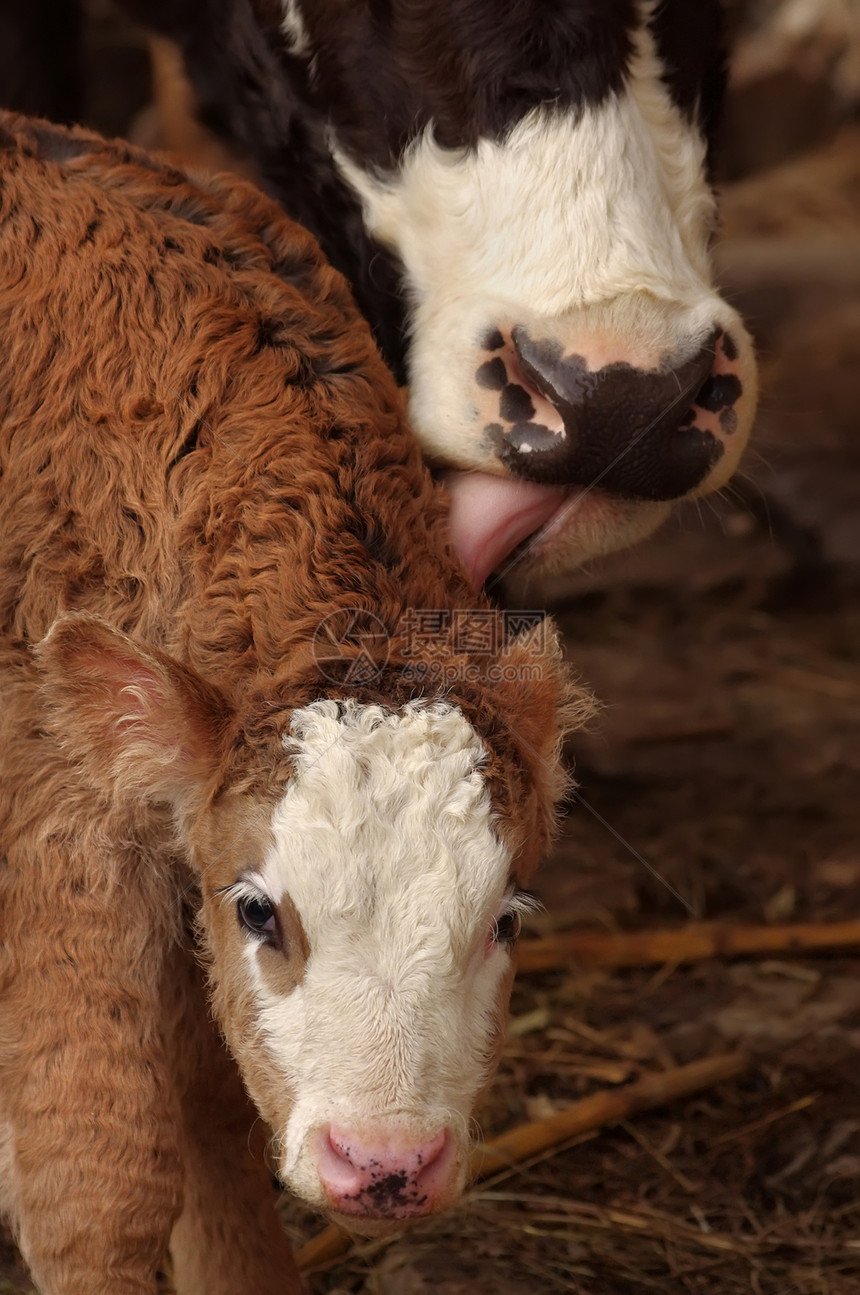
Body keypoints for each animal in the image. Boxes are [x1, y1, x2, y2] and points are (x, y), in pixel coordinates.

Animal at [0, 111, 585, 1295]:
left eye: (504, 918)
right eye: (262, 911)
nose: (385, 1164)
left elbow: (213, 1115)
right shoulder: (54, 814)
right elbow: (98, 1180)